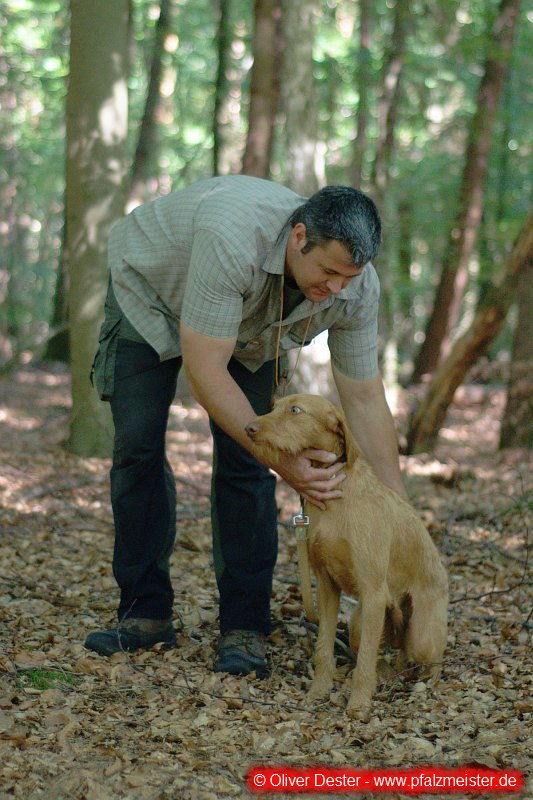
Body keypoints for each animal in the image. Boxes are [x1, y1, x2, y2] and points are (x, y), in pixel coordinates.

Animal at [245, 394, 448, 719]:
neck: (337, 498)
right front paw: (318, 691)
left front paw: (359, 703)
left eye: (295, 410)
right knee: (388, 653)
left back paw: (425, 685)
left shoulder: (374, 592)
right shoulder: (327, 587)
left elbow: (364, 659)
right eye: (274, 406)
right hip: (359, 622)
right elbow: (324, 648)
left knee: (430, 657)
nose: (249, 428)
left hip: (421, 634)